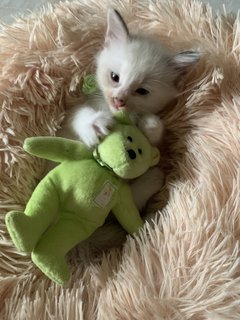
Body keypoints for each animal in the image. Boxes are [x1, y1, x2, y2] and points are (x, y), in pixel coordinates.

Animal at [67, 8, 199, 210]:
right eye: (114, 77)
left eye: (142, 91)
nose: (119, 100)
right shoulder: (78, 109)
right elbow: (79, 114)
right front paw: (94, 125)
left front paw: (149, 124)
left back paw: (154, 177)